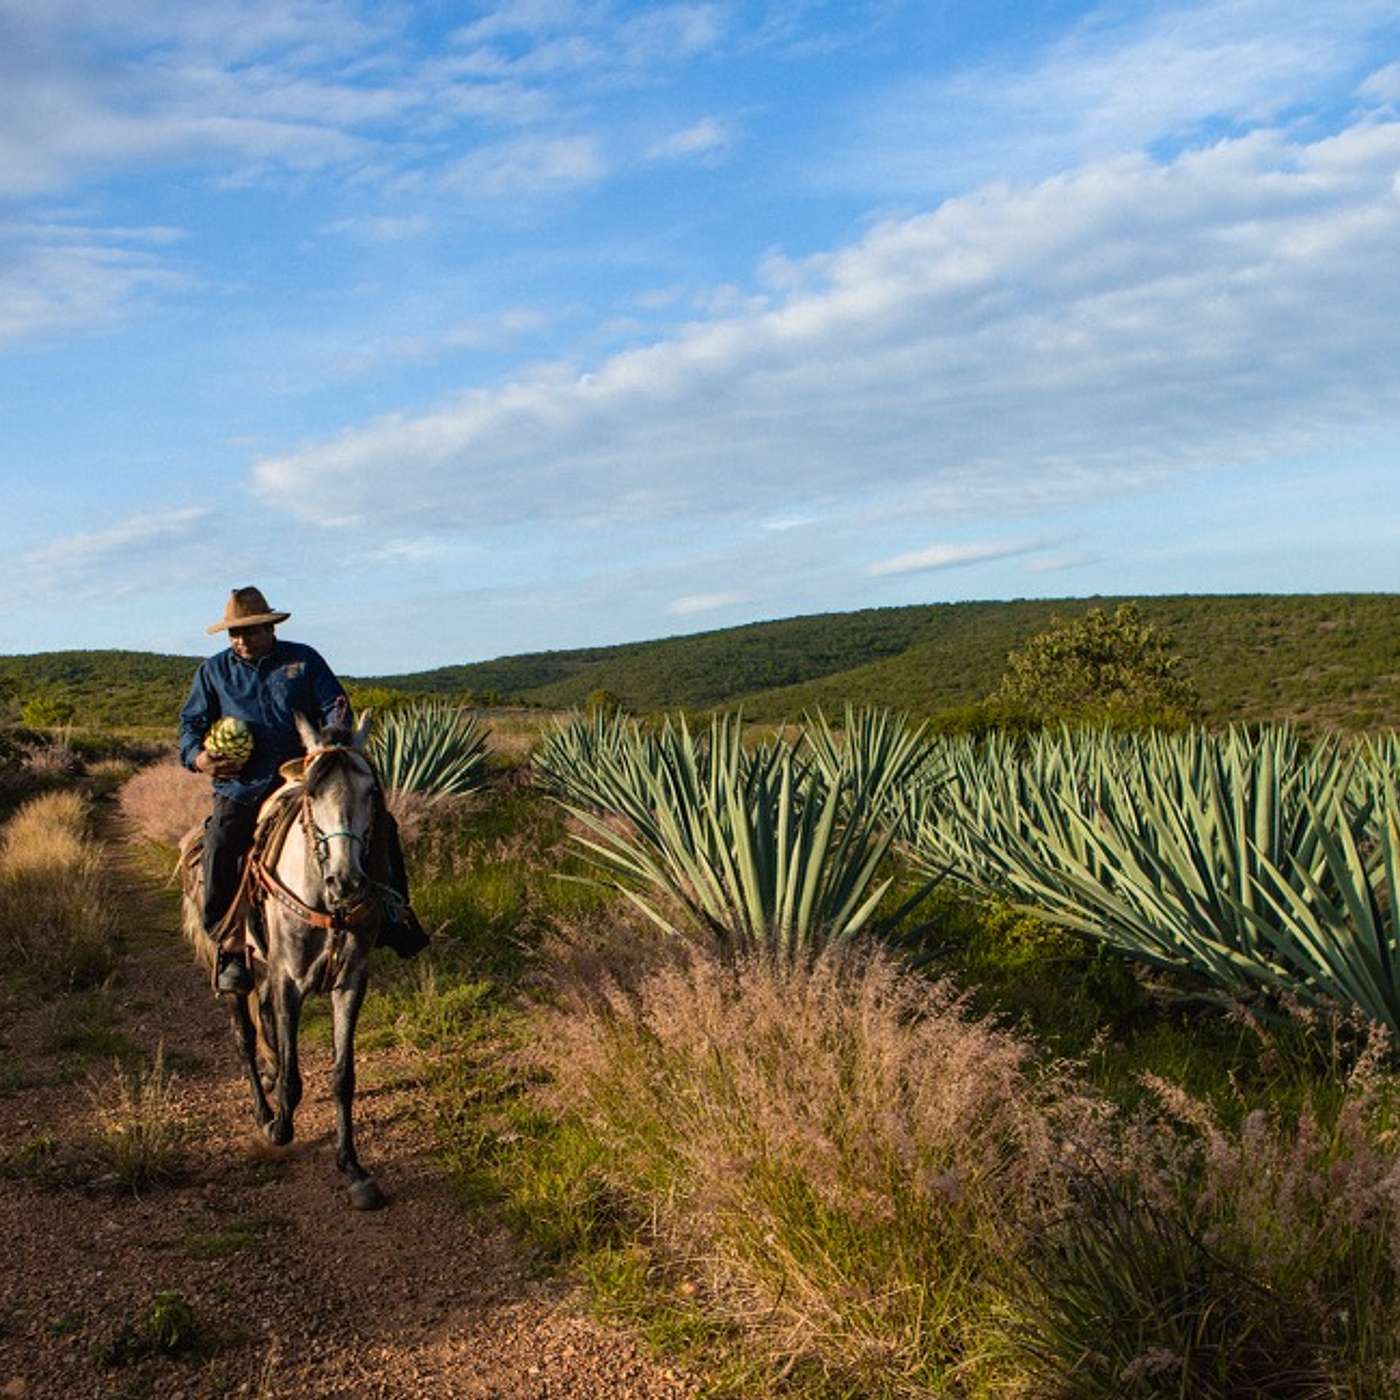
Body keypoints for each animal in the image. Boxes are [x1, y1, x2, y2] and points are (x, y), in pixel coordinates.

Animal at [183, 716, 389, 1209]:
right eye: (312, 794)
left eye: (371, 790)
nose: (347, 882)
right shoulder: (289, 981)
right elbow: (293, 1073)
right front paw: (280, 1125)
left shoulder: (350, 981)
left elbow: (342, 1075)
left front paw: (352, 1167)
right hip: (234, 967)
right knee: (244, 1035)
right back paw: (264, 1108)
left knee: (264, 1023)